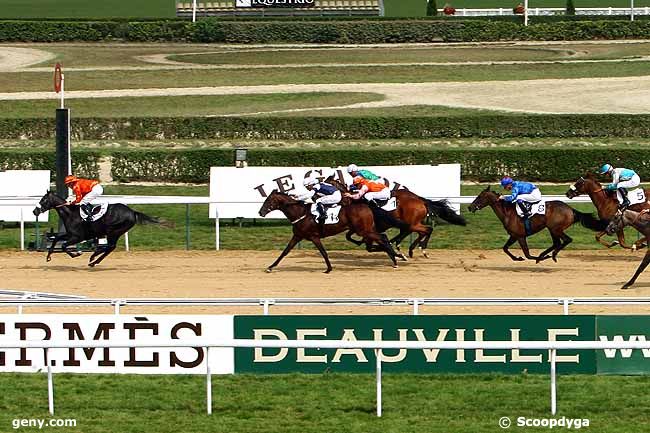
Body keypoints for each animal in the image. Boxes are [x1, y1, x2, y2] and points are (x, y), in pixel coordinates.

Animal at [33, 191, 170, 264]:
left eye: (43, 200)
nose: (35, 211)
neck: (70, 213)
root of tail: (132, 212)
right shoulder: (70, 234)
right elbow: (56, 239)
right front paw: (48, 256)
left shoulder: (77, 237)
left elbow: (63, 246)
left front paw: (76, 254)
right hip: (116, 232)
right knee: (110, 247)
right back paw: (94, 258)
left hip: (113, 231)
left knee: (110, 246)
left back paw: (94, 259)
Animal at [256, 191, 398, 272]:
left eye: (268, 200)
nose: (260, 212)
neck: (301, 213)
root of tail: (367, 206)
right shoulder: (297, 235)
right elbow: (285, 252)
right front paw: (270, 267)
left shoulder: (314, 237)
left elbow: (323, 252)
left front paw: (329, 269)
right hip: (366, 229)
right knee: (382, 238)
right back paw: (395, 258)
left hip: (363, 230)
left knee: (382, 238)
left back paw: (396, 258)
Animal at [326, 176, 464, 256]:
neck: (354, 201)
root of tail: (420, 200)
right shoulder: (358, 228)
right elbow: (350, 236)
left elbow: (367, 243)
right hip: (411, 223)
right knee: (417, 232)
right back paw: (406, 248)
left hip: (411, 223)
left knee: (426, 230)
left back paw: (419, 249)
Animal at [468, 185, 604, 260]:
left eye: (480, 197)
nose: (470, 207)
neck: (508, 212)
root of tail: (571, 209)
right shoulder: (514, 235)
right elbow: (505, 248)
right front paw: (518, 258)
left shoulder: (520, 236)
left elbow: (527, 254)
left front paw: (531, 258)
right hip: (551, 229)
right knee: (557, 243)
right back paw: (546, 255)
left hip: (555, 228)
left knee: (566, 240)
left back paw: (551, 255)